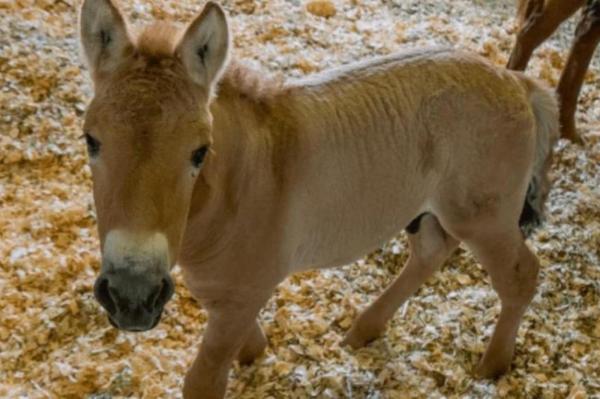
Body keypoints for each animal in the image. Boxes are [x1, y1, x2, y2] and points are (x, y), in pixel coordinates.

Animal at [77, 1, 560, 398]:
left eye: (199, 152)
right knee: (431, 252)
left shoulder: (245, 292)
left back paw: (493, 366)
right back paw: (364, 330)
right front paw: (255, 354)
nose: (132, 295)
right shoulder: (222, 289)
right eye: (91, 141)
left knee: (520, 275)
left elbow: (204, 380)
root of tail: (516, 81)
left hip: (484, 218)